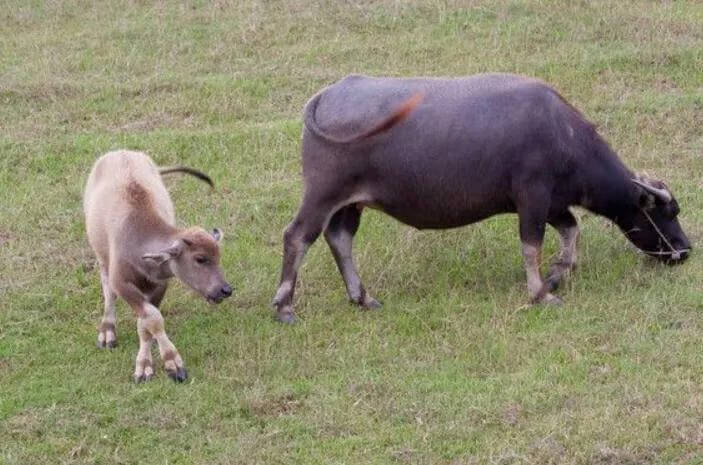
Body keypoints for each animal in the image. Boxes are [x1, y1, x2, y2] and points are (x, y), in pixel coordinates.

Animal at [84, 150, 234, 382]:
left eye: (218, 256)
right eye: (200, 259)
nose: (225, 290)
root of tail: (121, 152)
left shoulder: (159, 285)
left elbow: (146, 323)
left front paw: (147, 363)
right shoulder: (122, 283)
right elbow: (153, 318)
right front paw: (173, 363)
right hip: (101, 256)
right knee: (108, 290)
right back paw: (107, 330)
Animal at [272, 74, 692, 324]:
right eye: (667, 212)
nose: (685, 250)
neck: (563, 134)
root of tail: (327, 94)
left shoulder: (553, 202)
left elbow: (571, 230)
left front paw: (559, 274)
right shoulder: (533, 197)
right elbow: (531, 245)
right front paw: (540, 293)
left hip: (349, 203)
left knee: (339, 239)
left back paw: (362, 297)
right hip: (323, 194)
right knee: (298, 237)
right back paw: (285, 306)